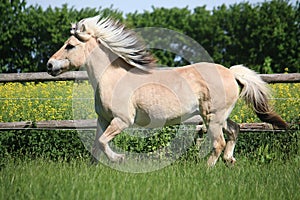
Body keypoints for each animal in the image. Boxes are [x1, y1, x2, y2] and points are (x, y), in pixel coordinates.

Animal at [47, 15, 288, 166]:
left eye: (70, 46)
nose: (49, 65)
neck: (112, 78)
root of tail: (230, 73)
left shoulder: (122, 120)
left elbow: (103, 142)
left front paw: (119, 159)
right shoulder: (103, 120)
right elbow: (97, 146)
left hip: (213, 118)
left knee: (218, 142)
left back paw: (206, 169)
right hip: (217, 116)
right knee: (235, 130)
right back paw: (230, 161)